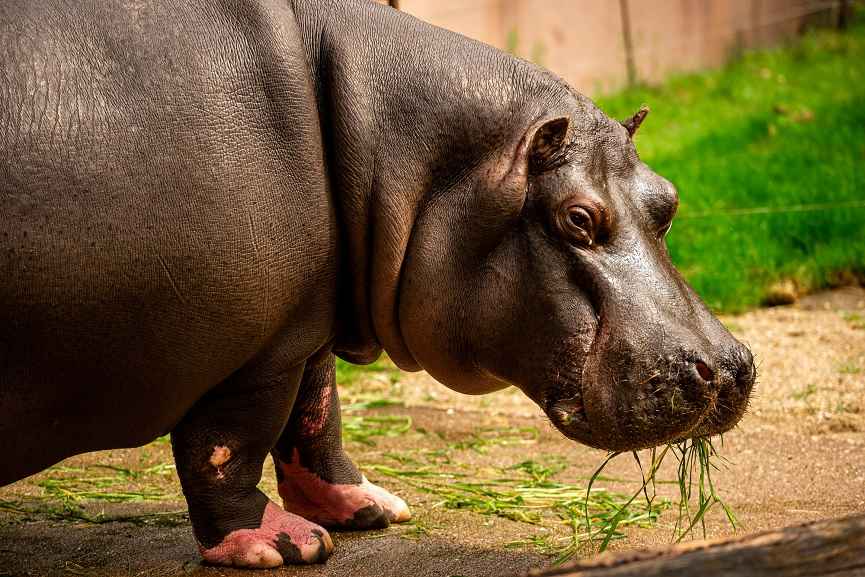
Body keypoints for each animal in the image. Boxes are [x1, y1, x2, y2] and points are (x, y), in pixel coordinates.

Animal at [0, 0, 756, 568]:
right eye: (577, 217)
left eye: (668, 199)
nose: (728, 367)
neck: (391, 144)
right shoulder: (254, 352)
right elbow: (229, 443)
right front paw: (283, 545)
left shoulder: (302, 324)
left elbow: (316, 415)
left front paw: (368, 507)